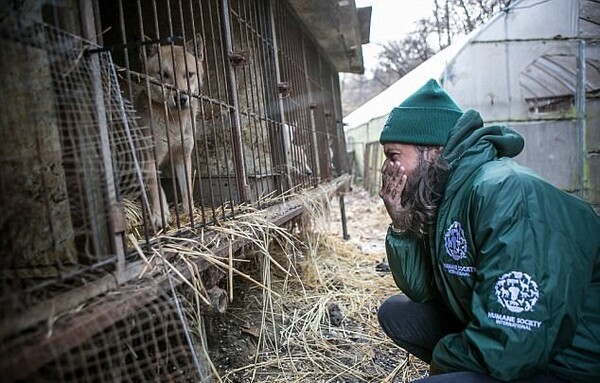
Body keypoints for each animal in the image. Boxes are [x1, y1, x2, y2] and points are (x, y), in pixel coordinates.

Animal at [135, 35, 205, 228]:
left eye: (189, 74)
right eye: (163, 74)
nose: (181, 98)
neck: (175, 124)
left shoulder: (183, 156)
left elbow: (187, 190)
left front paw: (191, 214)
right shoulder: (150, 159)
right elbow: (157, 189)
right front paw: (161, 215)